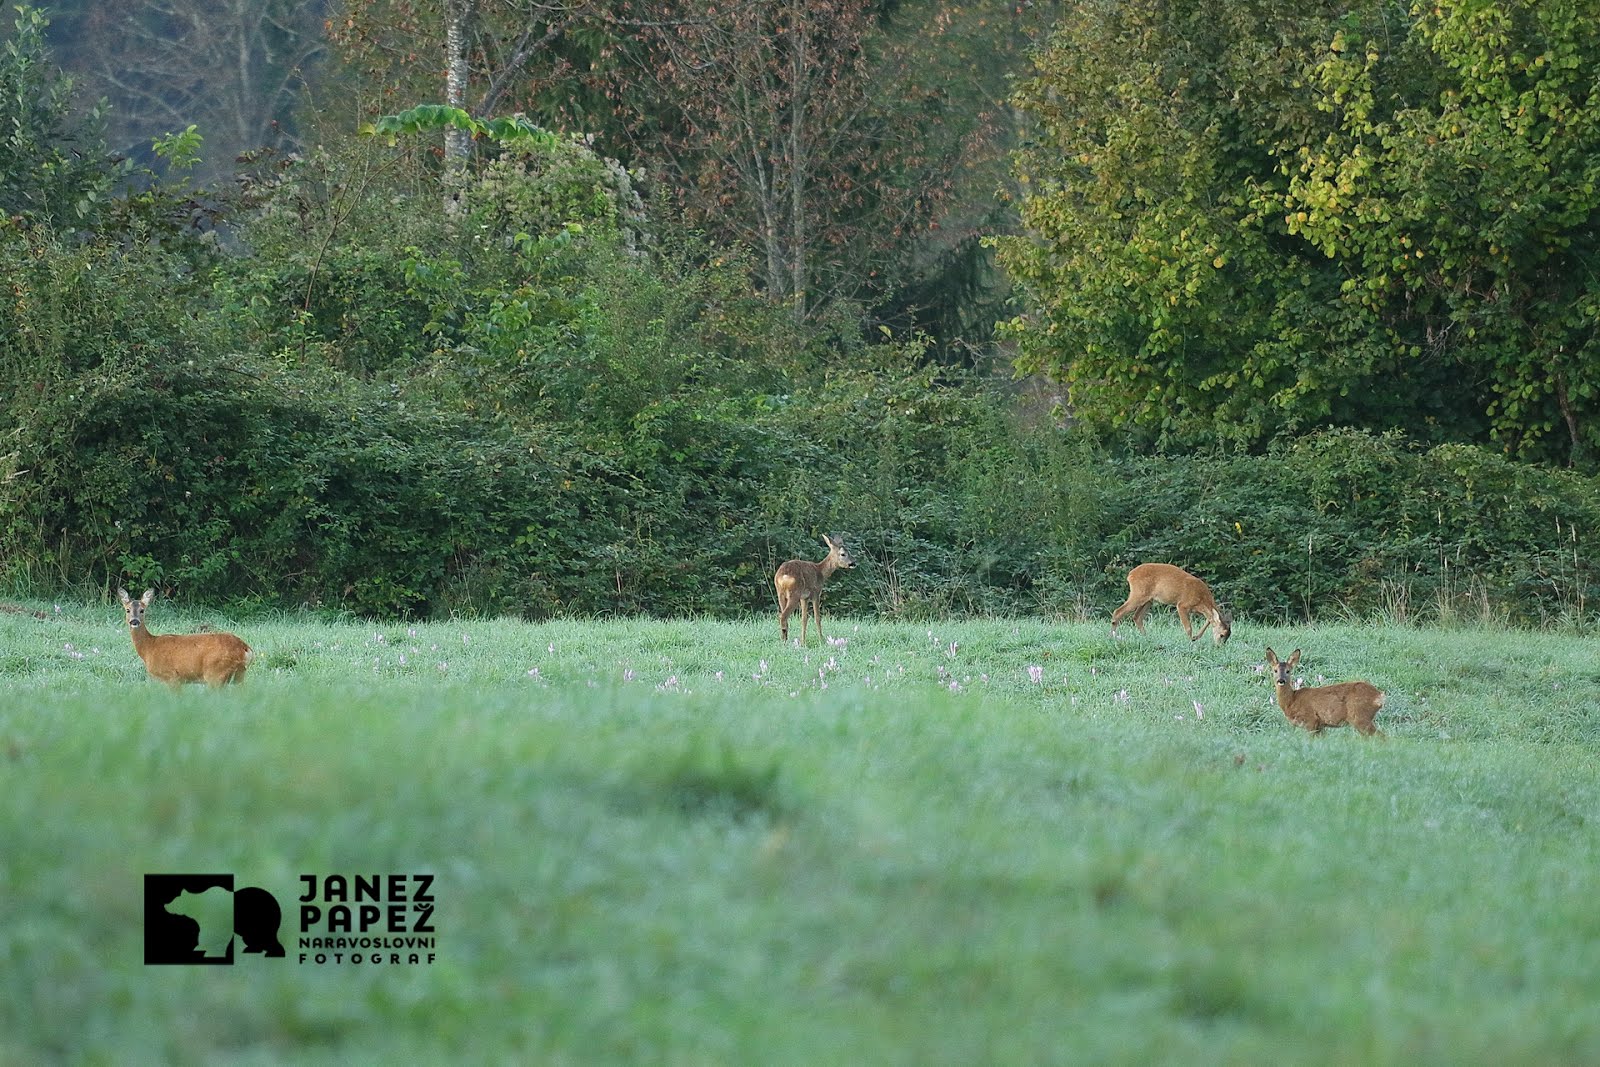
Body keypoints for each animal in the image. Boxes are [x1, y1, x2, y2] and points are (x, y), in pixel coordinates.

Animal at [117, 588, 252, 687]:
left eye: (142, 610)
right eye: (127, 610)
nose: (134, 621)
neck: (149, 648)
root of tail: (245, 648)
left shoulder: (172, 677)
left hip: (215, 673)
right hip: (240, 674)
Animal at [1260, 646, 1388, 739]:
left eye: (1288, 671)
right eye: (1275, 670)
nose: (1281, 680)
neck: (1291, 701)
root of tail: (1379, 696)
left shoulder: (1311, 720)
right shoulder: (1320, 726)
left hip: (1360, 716)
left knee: (1382, 737)